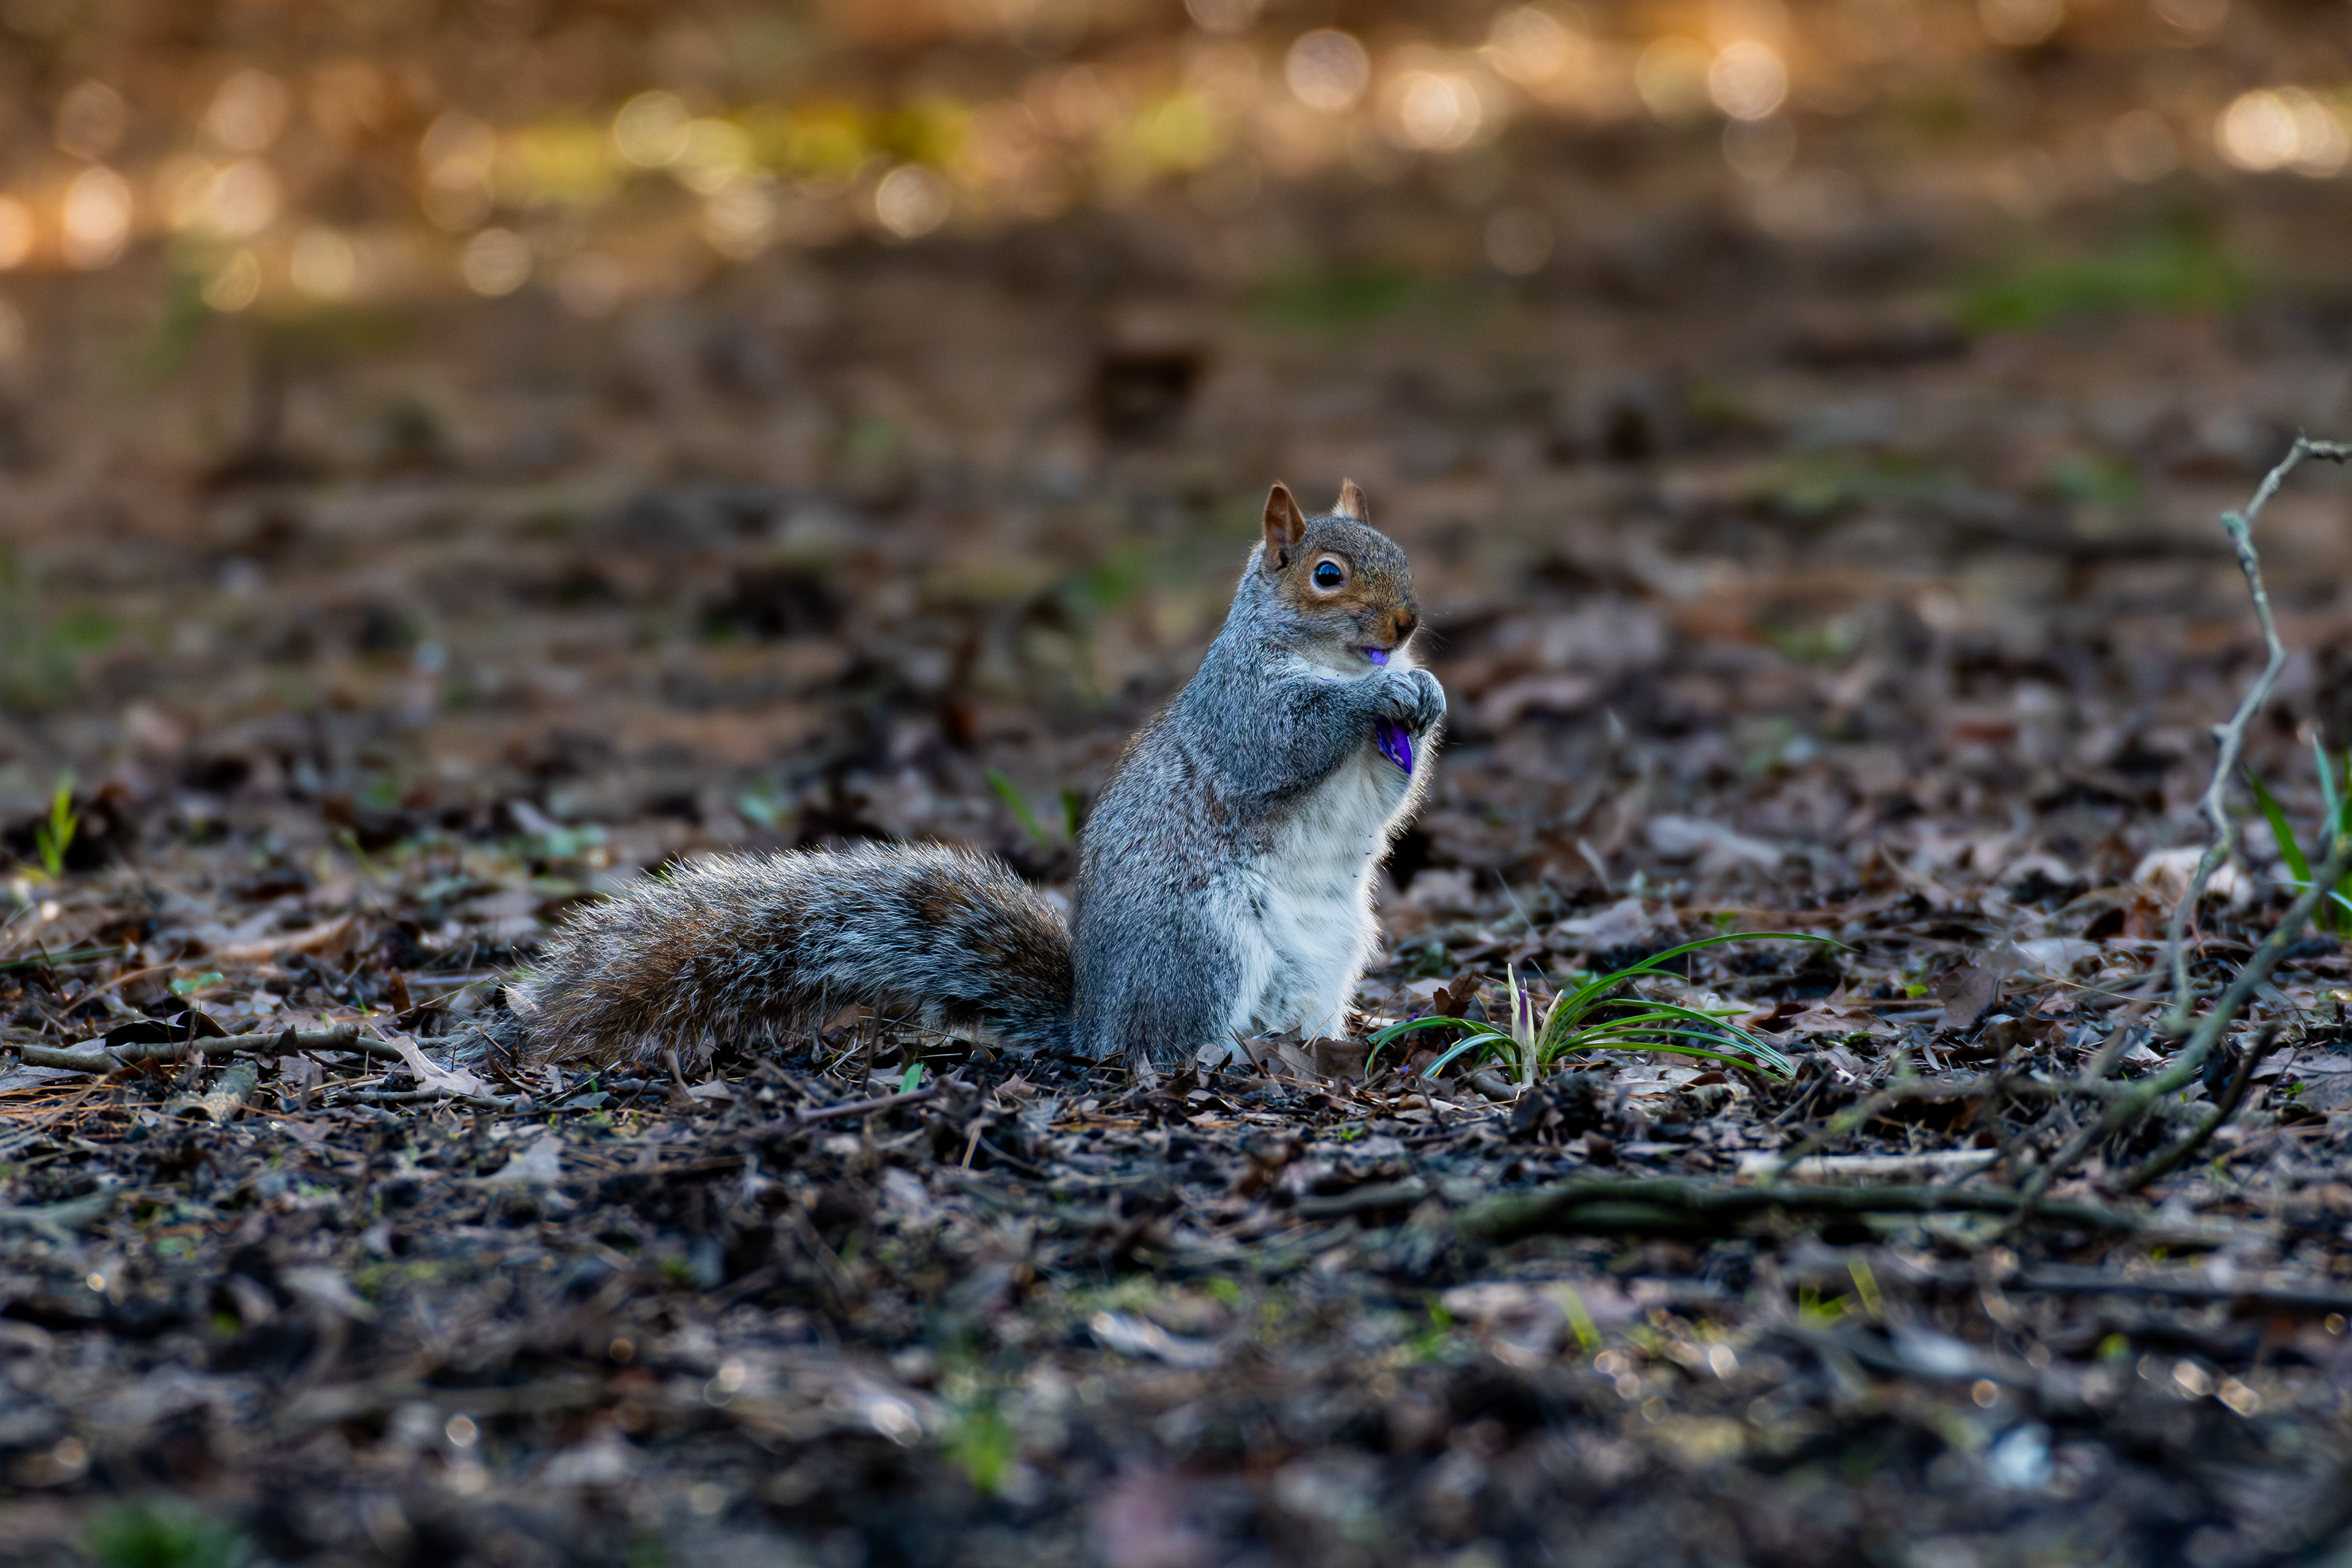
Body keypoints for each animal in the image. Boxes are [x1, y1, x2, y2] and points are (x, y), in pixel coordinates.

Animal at [499, 480, 1446, 1075]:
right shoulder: (1239, 709)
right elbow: (1283, 739)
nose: (1408, 622)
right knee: (1162, 1044)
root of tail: (1089, 1019)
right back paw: (1216, 1056)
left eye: (1401, 554)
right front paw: (1384, 692)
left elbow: (1385, 793)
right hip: (1202, 945)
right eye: (1327, 575)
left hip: (1334, 950)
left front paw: (1427, 691)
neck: (1326, 660)